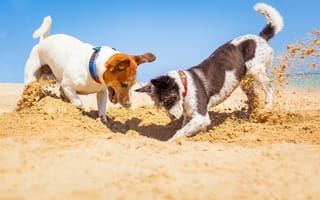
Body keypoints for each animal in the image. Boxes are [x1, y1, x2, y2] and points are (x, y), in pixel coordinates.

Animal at [135, 2, 282, 141]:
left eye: (168, 99)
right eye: (160, 105)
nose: (172, 117)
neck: (185, 86)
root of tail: (261, 37)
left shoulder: (201, 116)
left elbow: (179, 133)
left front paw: (170, 142)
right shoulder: (190, 117)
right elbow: (186, 129)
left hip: (255, 69)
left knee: (269, 89)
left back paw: (266, 109)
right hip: (245, 80)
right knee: (253, 97)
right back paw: (250, 117)